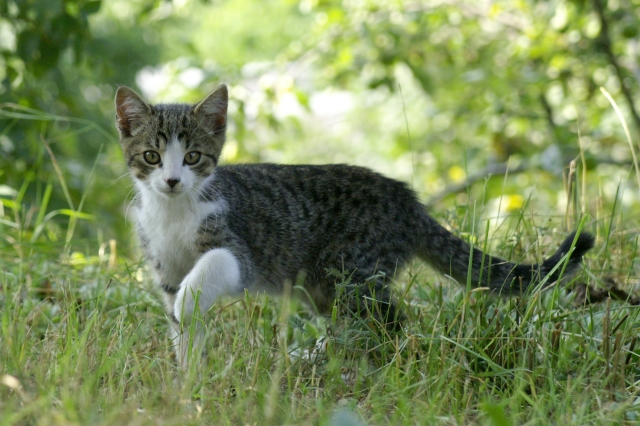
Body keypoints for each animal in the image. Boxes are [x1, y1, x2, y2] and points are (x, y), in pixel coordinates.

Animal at [115, 85, 596, 368]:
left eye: (193, 156)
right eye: (152, 157)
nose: (172, 180)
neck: (173, 213)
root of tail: (405, 199)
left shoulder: (238, 248)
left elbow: (209, 273)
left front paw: (191, 306)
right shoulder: (165, 268)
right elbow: (181, 323)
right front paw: (188, 379)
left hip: (353, 271)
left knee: (389, 323)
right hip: (321, 284)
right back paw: (316, 355)